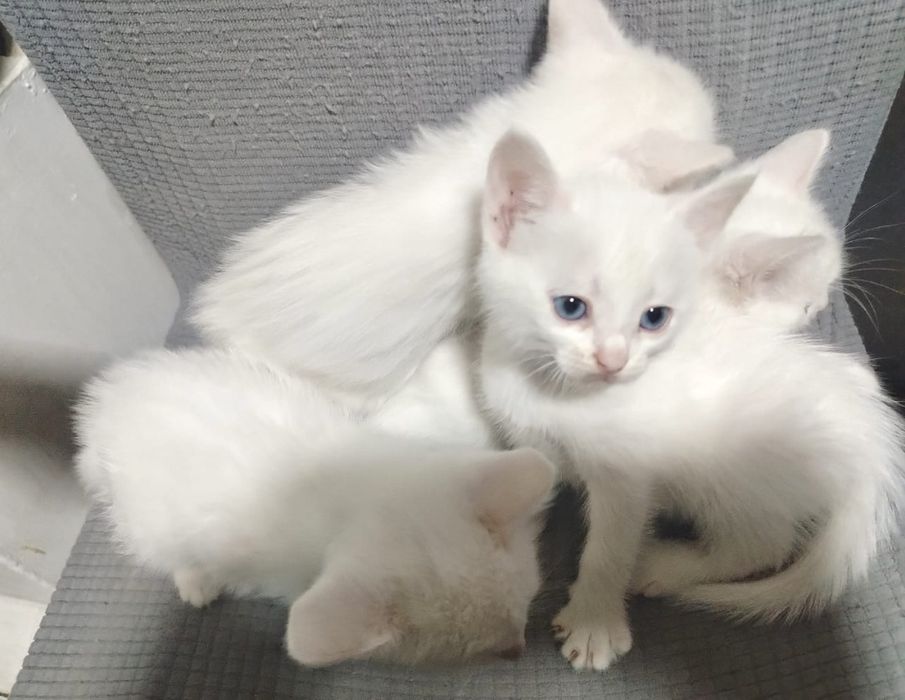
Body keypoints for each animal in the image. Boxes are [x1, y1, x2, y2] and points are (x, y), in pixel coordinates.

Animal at [73, 347, 556, 667]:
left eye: (528, 604)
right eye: (479, 650)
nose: (519, 650)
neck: (359, 487)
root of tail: (103, 408)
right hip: (145, 516)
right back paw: (195, 579)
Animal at [475, 130, 905, 671]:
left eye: (654, 317)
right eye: (570, 307)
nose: (613, 360)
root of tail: (871, 452)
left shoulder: (630, 473)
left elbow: (611, 543)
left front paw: (595, 620)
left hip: (732, 473)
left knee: (761, 546)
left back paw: (662, 565)